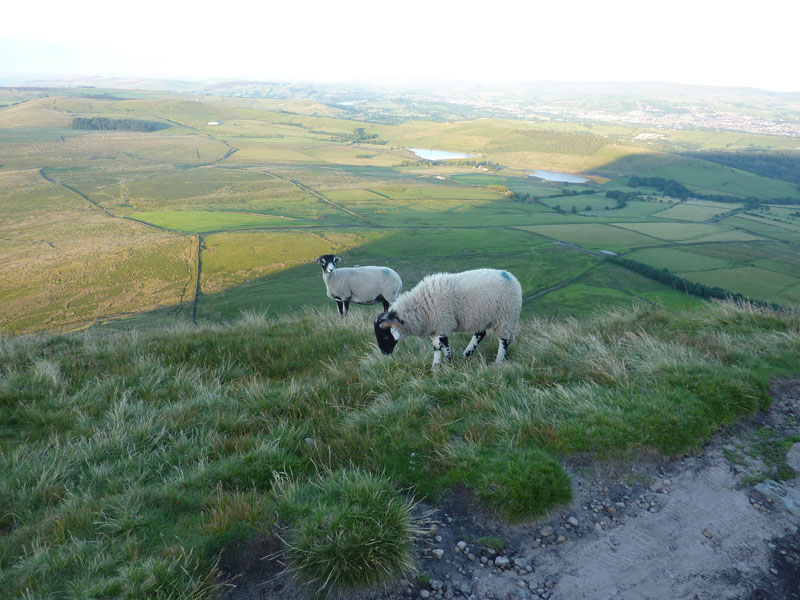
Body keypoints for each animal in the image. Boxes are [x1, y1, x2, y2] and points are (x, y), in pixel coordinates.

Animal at [376, 270, 524, 368]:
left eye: (385, 337)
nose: (384, 353)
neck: (420, 306)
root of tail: (512, 278)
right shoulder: (437, 326)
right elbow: (441, 345)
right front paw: (442, 364)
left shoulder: (442, 322)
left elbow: (441, 345)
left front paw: (441, 364)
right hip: (483, 316)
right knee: (480, 334)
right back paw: (466, 354)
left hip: (505, 317)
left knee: (503, 341)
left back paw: (498, 361)